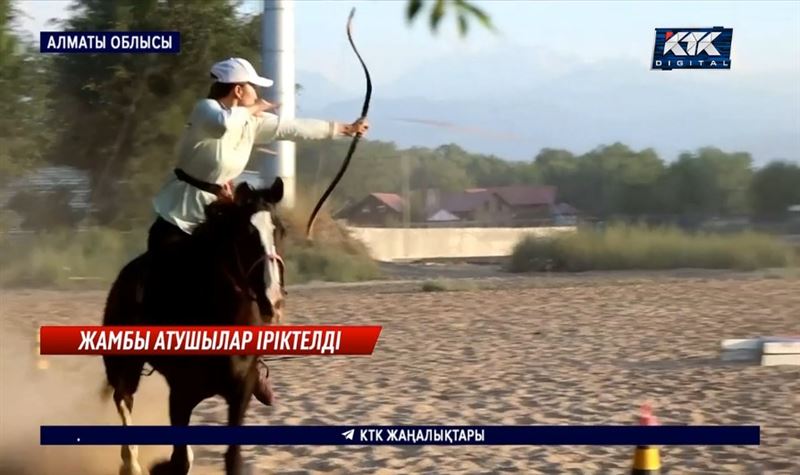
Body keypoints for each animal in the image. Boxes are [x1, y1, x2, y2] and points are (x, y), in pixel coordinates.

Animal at [101, 178, 286, 475]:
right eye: (246, 234)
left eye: (280, 231)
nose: (273, 300)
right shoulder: (180, 394)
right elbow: (178, 461)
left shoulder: (240, 391)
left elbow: (231, 460)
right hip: (123, 364)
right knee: (124, 398)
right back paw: (131, 464)